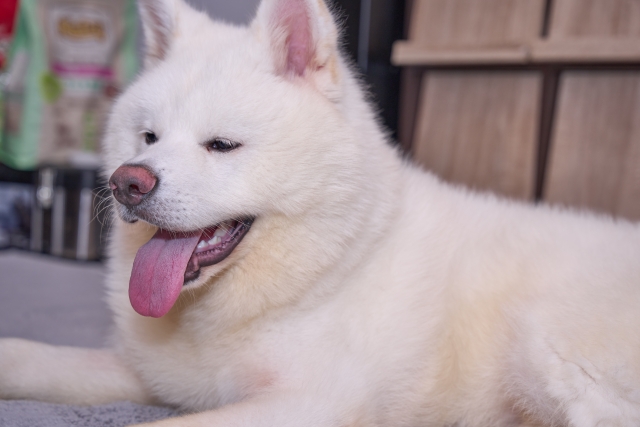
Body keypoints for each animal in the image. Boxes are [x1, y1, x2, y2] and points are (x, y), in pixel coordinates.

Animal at [1, 0, 640, 426]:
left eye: (221, 145)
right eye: (148, 138)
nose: (127, 183)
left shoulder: (310, 401)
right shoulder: (157, 376)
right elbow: (30, 355)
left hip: (545, 347)